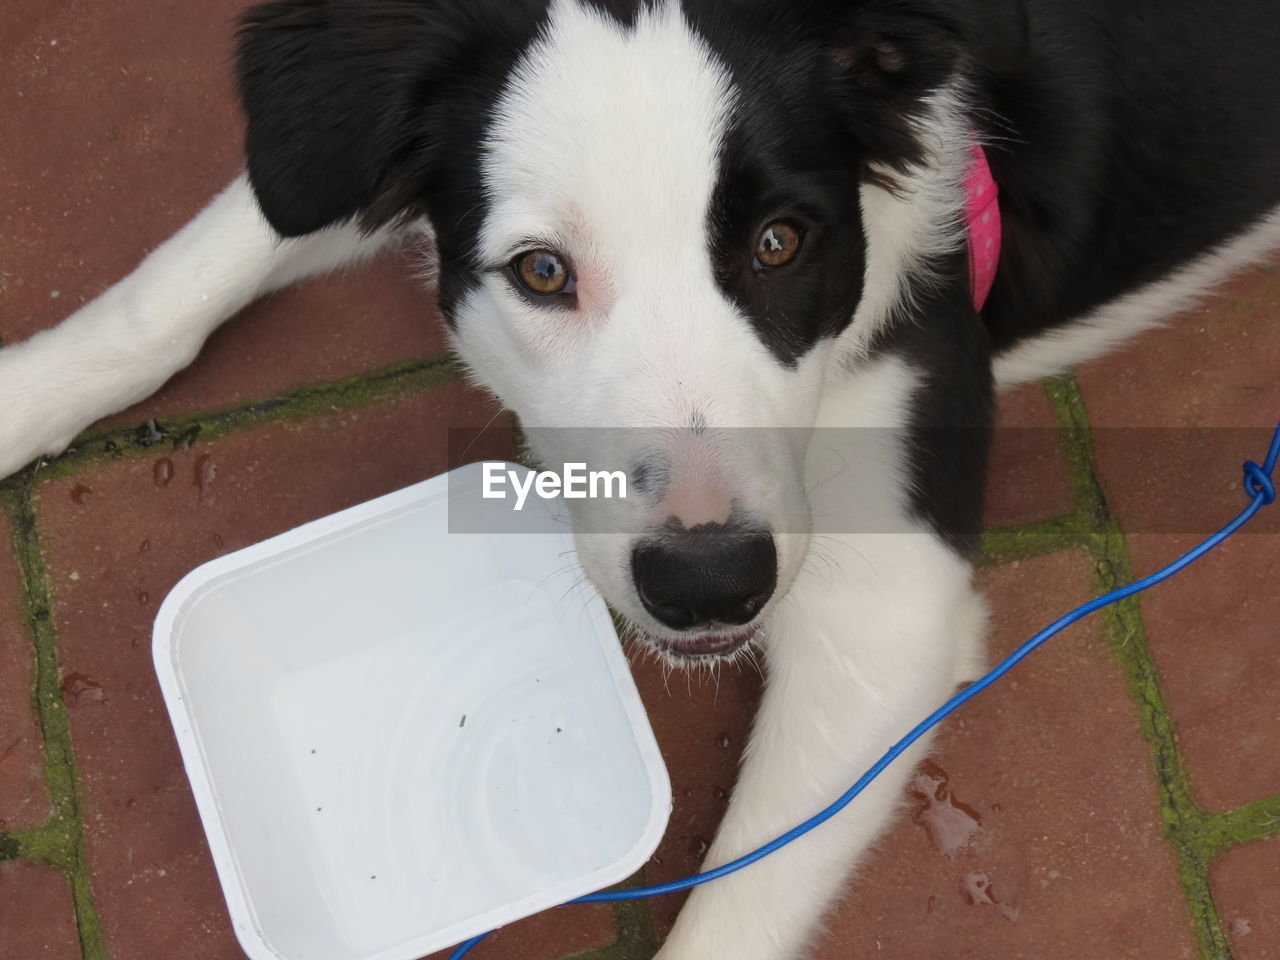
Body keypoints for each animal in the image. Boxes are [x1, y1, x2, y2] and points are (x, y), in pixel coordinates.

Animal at [2, 1, 1280, 960]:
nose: (707, 584)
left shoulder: (886, 614)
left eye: (779, 242)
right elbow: (206, 261)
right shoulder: (328, 144)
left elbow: (733, 913)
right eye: (540, 272)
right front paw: (23, 397)